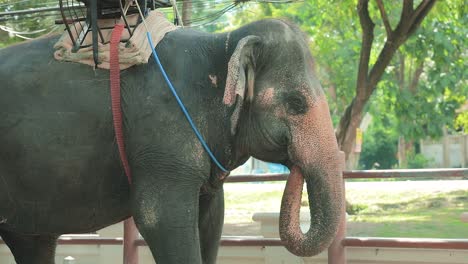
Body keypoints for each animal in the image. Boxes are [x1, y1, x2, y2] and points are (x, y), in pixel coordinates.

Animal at [0, 18, 344, 264]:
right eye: (297, 104)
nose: (294, 167)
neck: (222, 44)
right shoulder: (163, 128)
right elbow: (160, 218)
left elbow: (212, 219)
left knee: (35, 242)